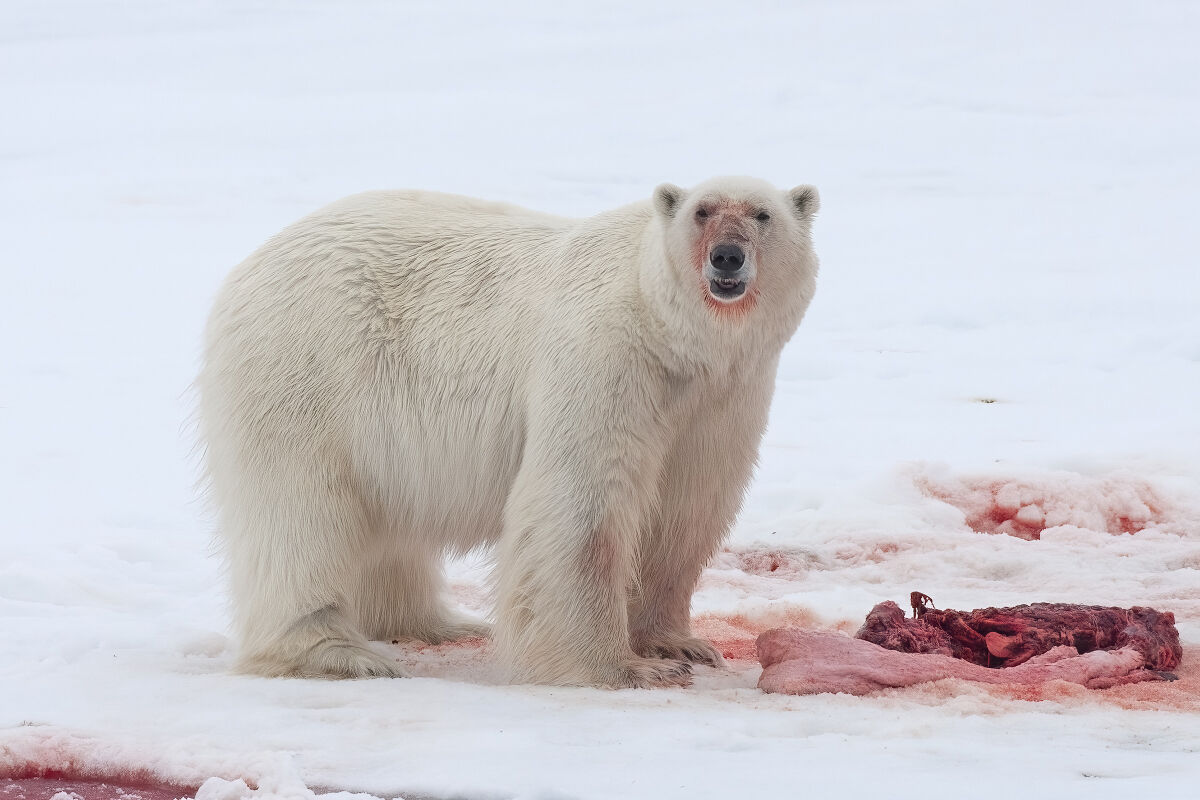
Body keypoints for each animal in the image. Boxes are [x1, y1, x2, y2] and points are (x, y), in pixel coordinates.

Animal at [197, 176, 819, 688]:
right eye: (701, 211)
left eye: (763, 214)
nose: (727, 258)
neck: (671, 332)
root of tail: (248, 268)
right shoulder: (606, 358)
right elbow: (582, 505)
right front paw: (619, 668)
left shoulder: (723, 396)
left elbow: (685, 509)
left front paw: (679, 645)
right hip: (307, 371)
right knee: (302, 512)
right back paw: (337, 653)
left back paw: (436, 623)